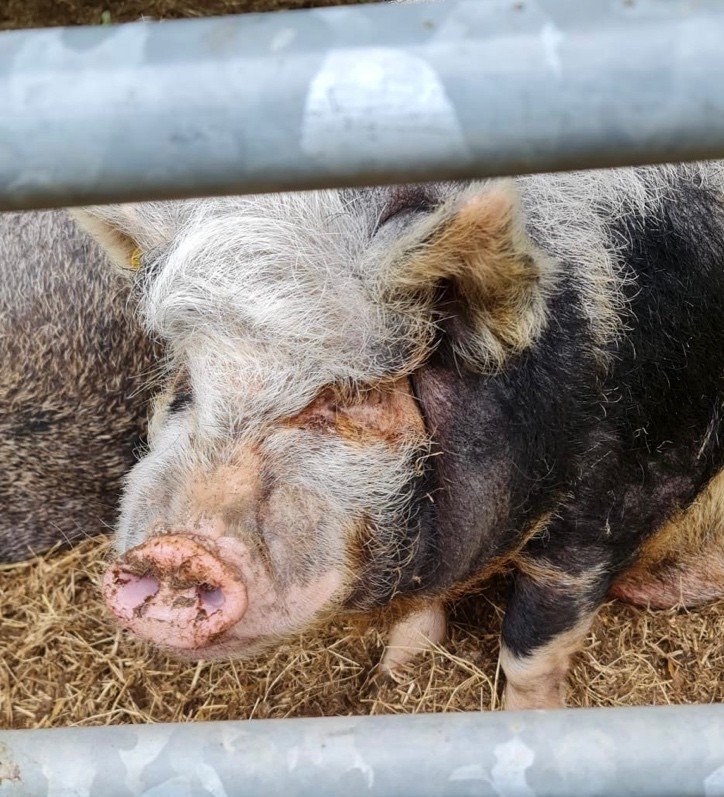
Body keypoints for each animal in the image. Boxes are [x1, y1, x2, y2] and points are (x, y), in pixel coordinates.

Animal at [71, 164, 724, 709]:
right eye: (185, 373)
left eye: (346, 392)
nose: (174, 551)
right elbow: (419, 609)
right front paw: (395, 675)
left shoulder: (613, 504)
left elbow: (529, 653)